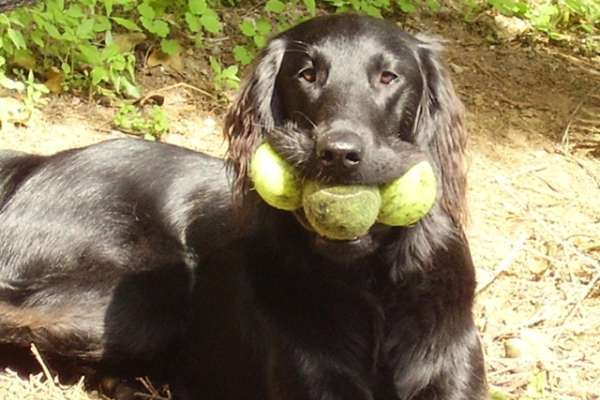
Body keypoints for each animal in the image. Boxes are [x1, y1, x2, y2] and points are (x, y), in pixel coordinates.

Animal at [0, 14, 488, 400]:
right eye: (306, 74)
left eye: (389, 77)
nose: (337, 154)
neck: (369, 286)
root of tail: (37, 164)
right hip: (152, 290)